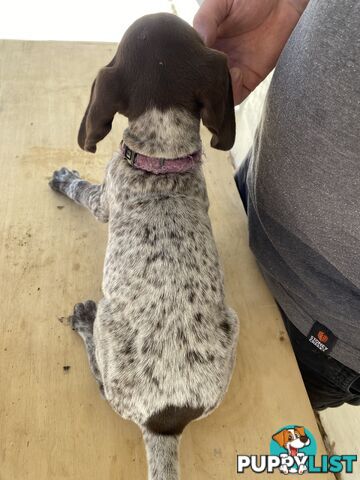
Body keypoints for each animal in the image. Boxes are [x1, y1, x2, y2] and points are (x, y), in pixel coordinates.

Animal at [47, 13, 239, 480]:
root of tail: (165, 421)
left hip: (109, 338)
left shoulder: (104, 198)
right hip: (234, 322)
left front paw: (65, 179)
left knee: (100, 379)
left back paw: (83, 319)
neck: (164, 163)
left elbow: (82, 191)